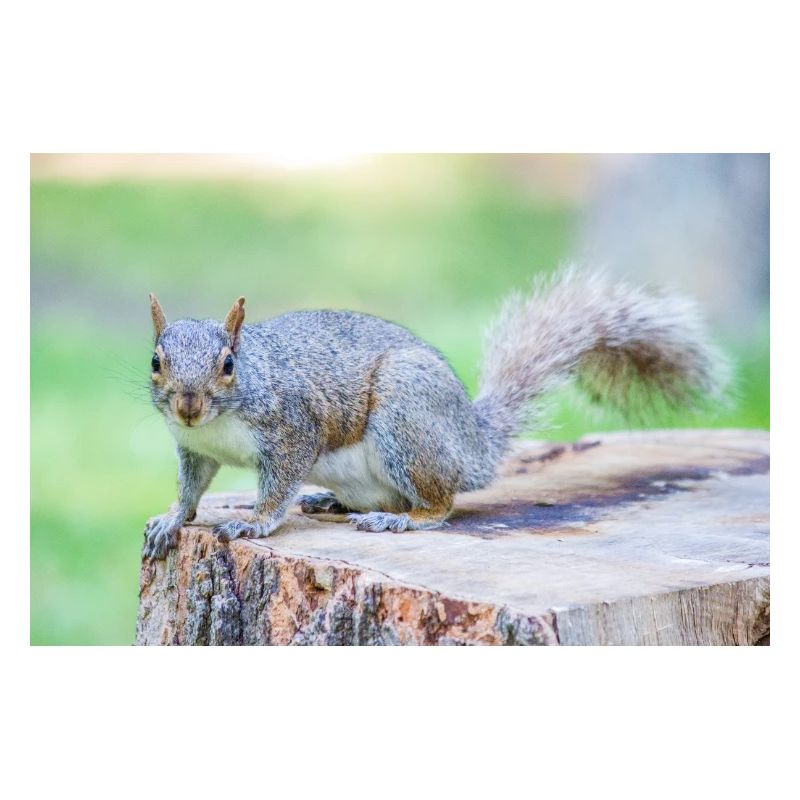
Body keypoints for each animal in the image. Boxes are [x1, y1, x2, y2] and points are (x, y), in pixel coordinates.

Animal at [143, 269, 729, 559]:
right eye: (155, 361)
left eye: (228, 364)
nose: (188, 405)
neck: (219, 423)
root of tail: (473, 443)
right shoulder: (193, 449)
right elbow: (192, 489)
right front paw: (171, 519)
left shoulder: (293, 430)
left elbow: (277, 484)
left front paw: (254, 522)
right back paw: (331, 501)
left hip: (406, 418)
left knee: (441, 504)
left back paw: (400, 518)